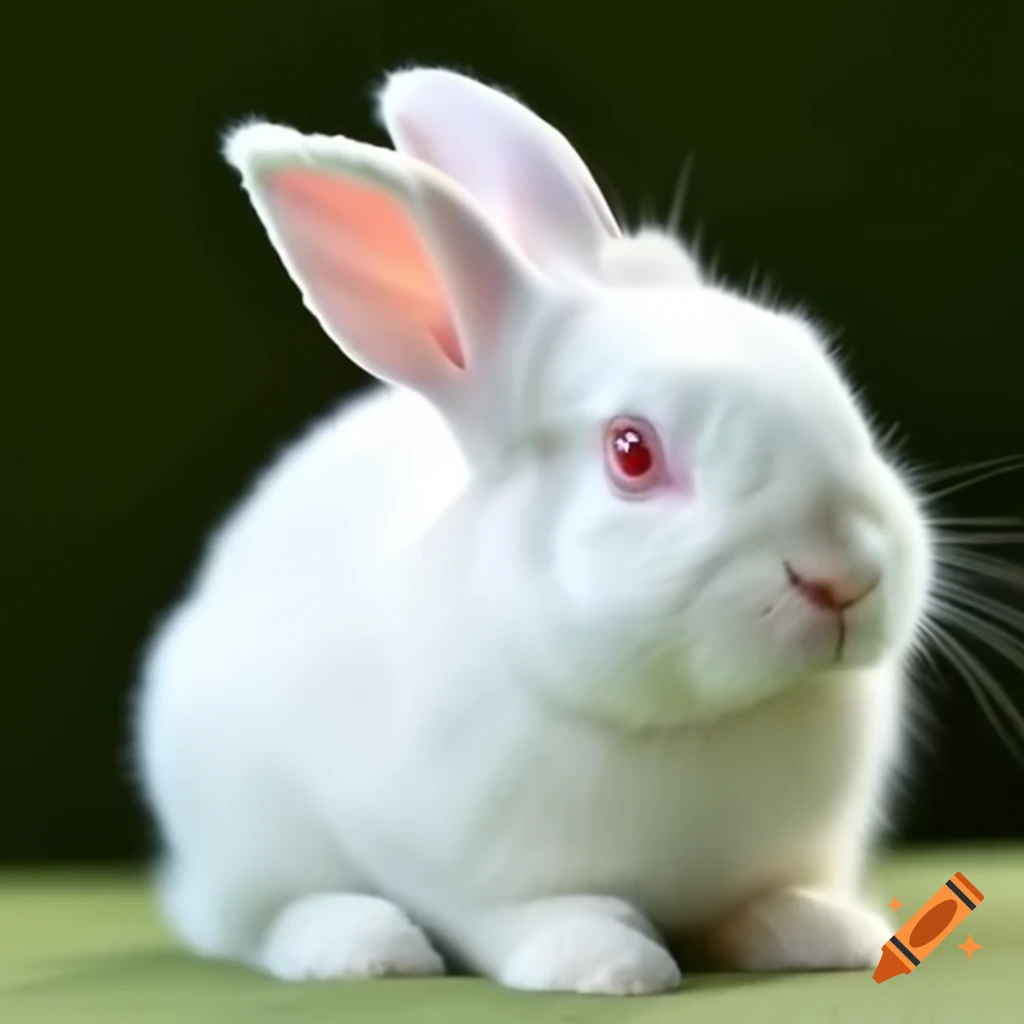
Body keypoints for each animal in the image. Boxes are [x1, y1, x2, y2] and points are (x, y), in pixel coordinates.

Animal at [133, 66, 933, 995]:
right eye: (632, 452)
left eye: (812, 358)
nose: (843, 575)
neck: (683, 725)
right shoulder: (458, 871)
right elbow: (521, 917)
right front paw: (608, 963)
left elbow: (759, 902)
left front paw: (829, 932)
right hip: (239, 835)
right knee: (255, 921)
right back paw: (363, 947)